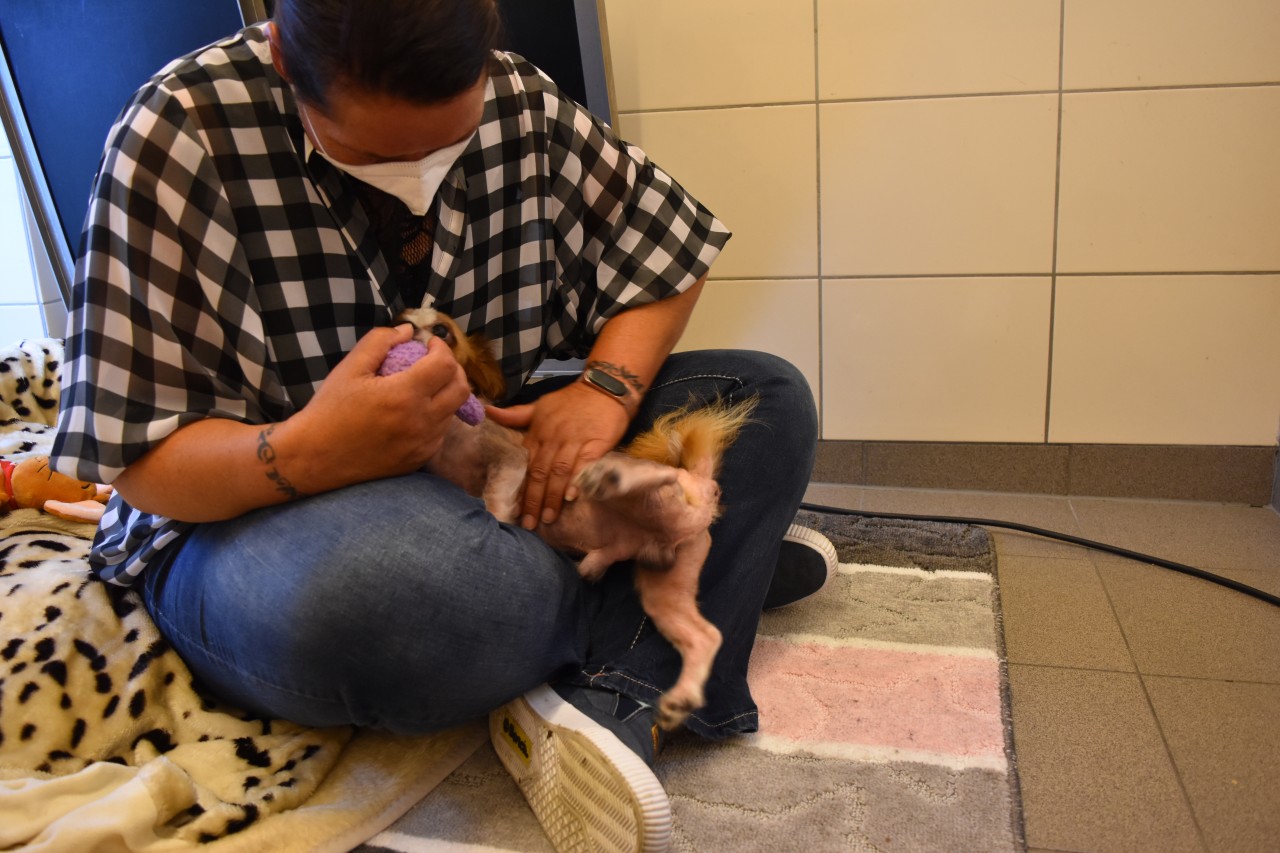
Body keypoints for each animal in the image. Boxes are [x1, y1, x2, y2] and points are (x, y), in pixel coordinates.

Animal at [394, 298, 747, 722]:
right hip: (664, 585)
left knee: (657, 476)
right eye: (397, 319)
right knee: (704, 636)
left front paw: (499, 520)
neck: (449, 434)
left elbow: (497, 498)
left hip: (652, 493)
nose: (404, 329)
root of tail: (700, 485)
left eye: (443, 331)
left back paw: (612, 476)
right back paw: (681, 696)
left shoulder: (509, 459)